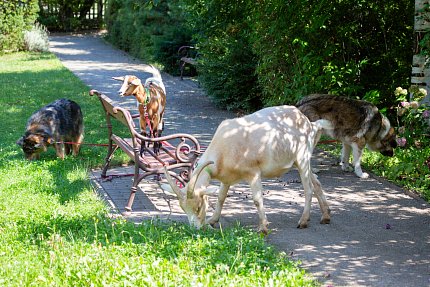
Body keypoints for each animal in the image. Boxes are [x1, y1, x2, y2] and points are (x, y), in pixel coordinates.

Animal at [163, 105, 334, 234]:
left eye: (198, 207)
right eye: (183, 208)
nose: (195, 229)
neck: (224, 147)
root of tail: (310, 124)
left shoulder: (253, 173)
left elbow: (257, 200)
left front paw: (263, 228)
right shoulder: (227, 178)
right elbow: (220, 198)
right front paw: (213, 220)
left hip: (302, 157)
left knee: (308, 188)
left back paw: (303, 221)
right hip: (298, 162)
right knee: (316, 182)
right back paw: (325, 217)